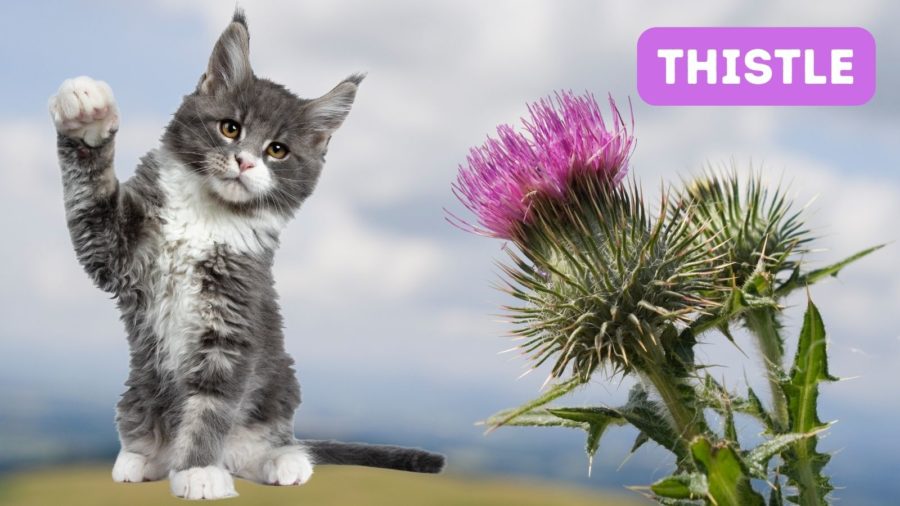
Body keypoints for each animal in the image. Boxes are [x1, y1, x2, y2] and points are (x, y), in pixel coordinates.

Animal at [48, 9, 442, 500]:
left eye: (277, 150)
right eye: (230, 128)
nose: (246, 162)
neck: (207, 217)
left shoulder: (233, 322)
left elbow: (210, 407)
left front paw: (198, 470)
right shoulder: (117, 248)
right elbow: (93, 199)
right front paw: (88, 117)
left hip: (278, 388)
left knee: (270, 443)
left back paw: (283, 462)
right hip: (137, 388)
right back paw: (140, 458)